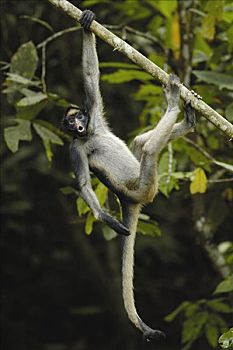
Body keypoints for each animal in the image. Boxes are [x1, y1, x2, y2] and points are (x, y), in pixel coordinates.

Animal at [62, 9, 198, 344]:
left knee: (139, 143)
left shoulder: (95, 115)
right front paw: (106, 219)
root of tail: (129, 200)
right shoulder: (73, 147)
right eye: (69, 126)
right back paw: (174, 103)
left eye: (78, 117)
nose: (78, 126)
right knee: (148, 149)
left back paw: (187, 120)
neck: (90, 135)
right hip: (143, 185)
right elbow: (83, 183)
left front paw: (86, 25)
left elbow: (91, 76)